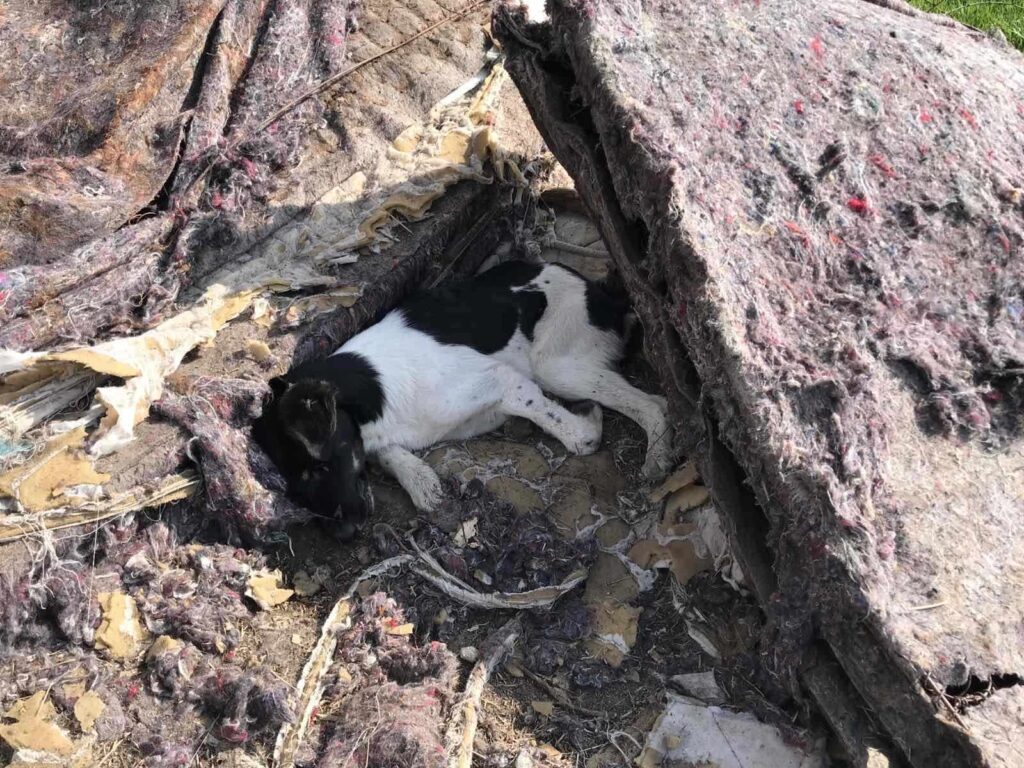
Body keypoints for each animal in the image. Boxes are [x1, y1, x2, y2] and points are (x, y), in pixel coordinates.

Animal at [254, 260, 672, 539]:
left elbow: (579, 436)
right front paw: (418, 478)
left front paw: (587, 423)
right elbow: (388, 455)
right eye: (295, 486)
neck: (376, 390)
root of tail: (605, 294)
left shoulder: (506, 382)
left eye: (318, 467)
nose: (344, 536)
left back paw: (658, 456)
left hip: (556, 367)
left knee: (656, 404)